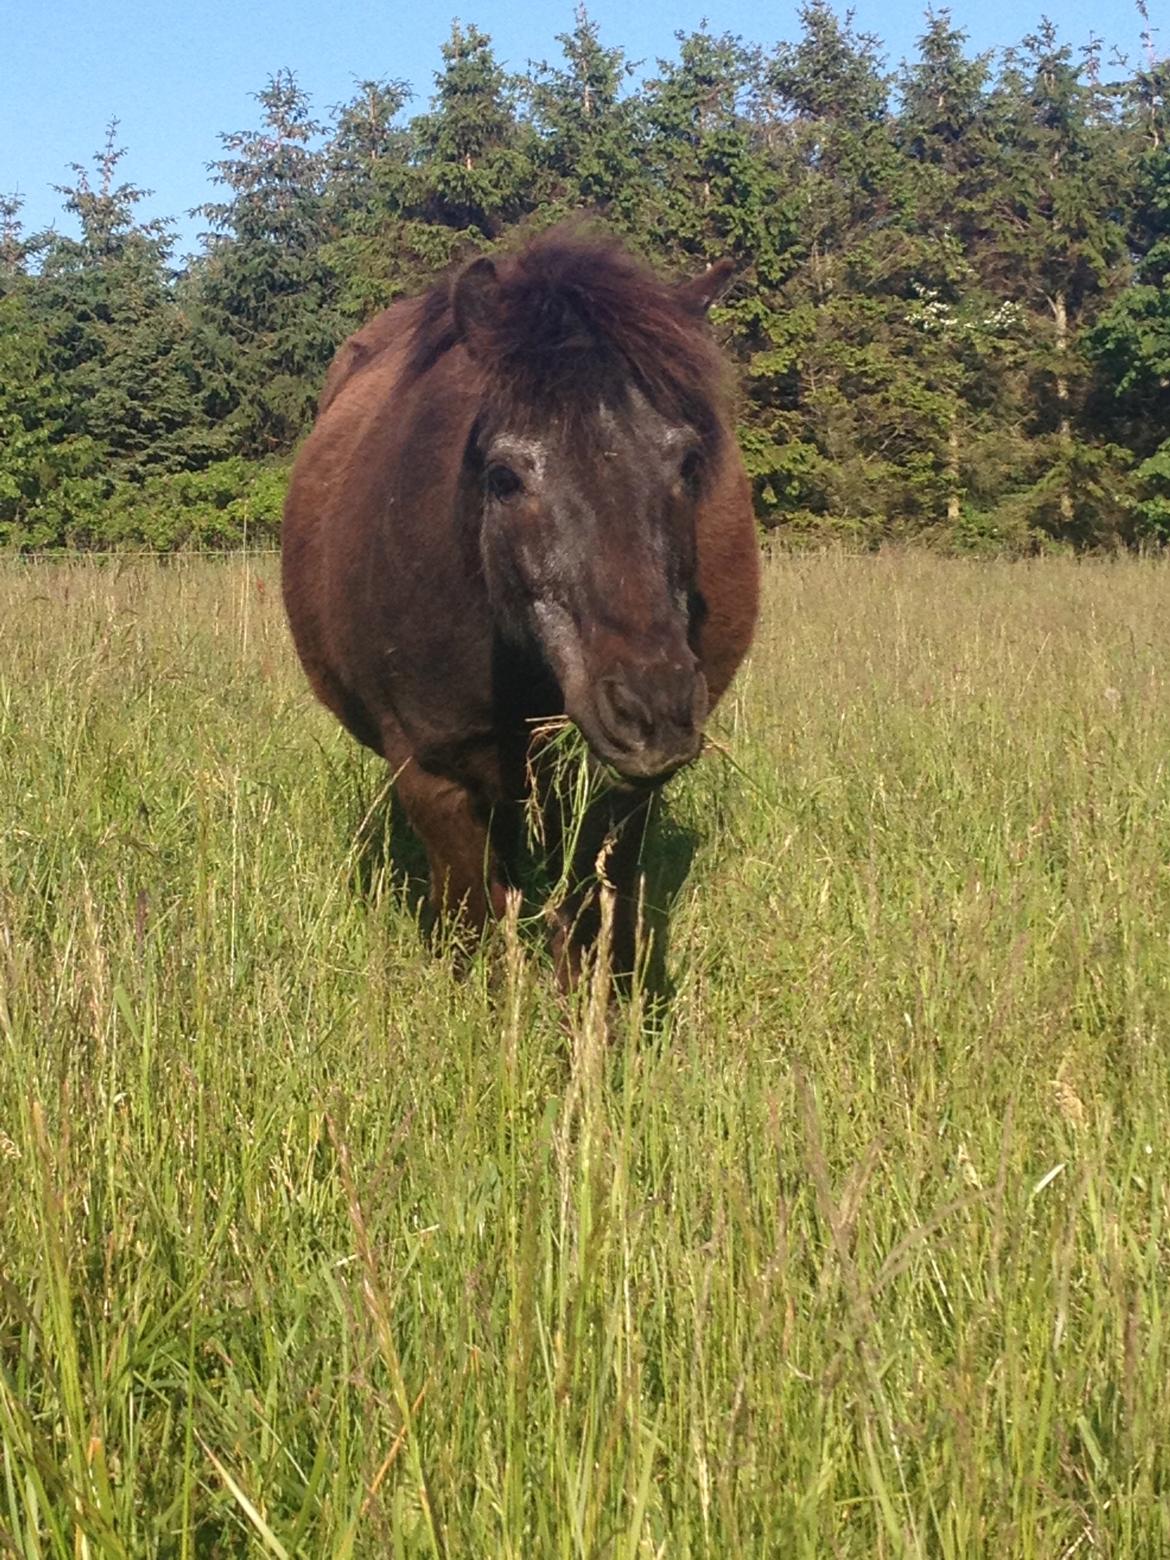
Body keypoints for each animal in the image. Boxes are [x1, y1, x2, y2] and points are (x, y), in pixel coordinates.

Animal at [282, 227, 761, 985]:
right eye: (504, 476)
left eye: (687, 462)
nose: (652, 709)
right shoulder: (434, 774)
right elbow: (476, 926)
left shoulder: (614, 792)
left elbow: (596, 922)